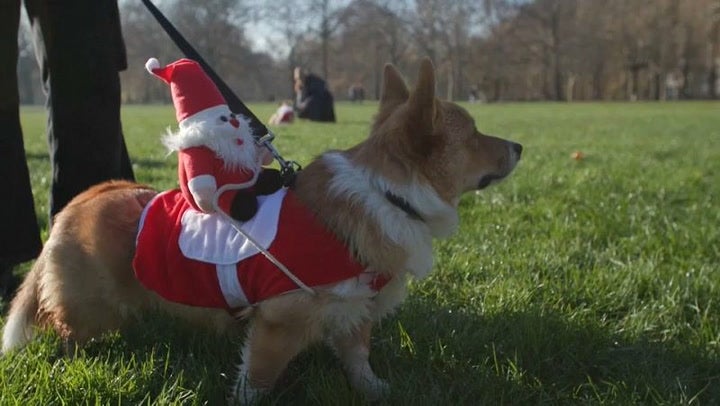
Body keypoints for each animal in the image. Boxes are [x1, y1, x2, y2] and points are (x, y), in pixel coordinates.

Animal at [1, 59, 524, 402]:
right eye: (474, 134)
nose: (520, 146)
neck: (390, 193)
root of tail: (83, 198)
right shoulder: (279, 325)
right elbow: (257, 380)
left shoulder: (355, 310)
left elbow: (358, 358)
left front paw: (376, 390)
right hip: (89, 311)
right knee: (64, 328)